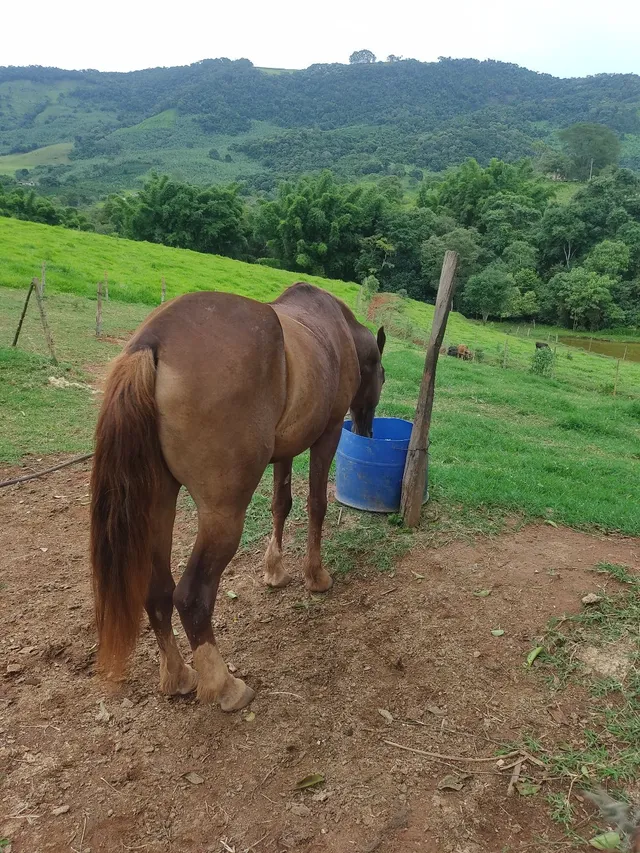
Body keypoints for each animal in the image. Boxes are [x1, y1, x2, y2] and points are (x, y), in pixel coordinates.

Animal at [90, 282, 385, 712]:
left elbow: (282, 504)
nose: (366, 431)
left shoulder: (285, 450)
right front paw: (315, 576)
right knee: (191, 595)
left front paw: (275, 571)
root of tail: (153, 340)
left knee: (157, 591)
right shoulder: (326, 435)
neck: (336, 330)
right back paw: (224, 685)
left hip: (159, 505)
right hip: (222, 514)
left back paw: (178, 676)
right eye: (382, 375)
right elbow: (316, 505)